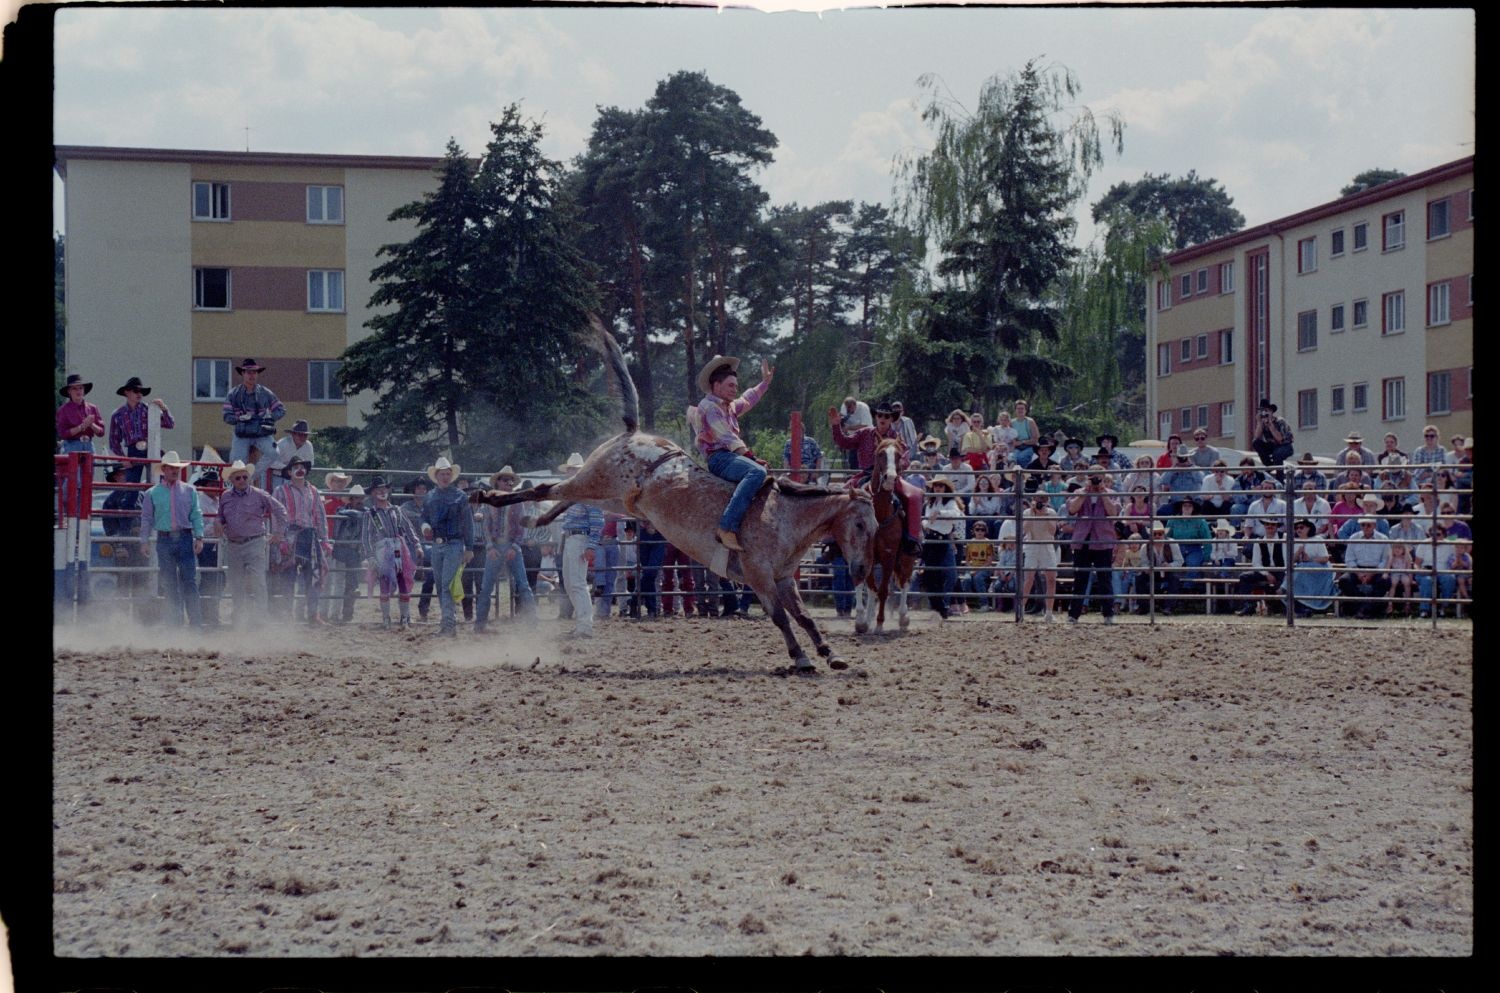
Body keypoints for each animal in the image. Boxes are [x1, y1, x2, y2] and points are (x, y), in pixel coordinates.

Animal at [471, 319, 876, 678]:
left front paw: (831, 654)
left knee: (559, 498)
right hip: (595, 480)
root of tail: (634, 433)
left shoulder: (784, 579)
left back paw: (534, 519)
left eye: (875, 525)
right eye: (859, 523)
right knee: (544, 490)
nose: (860, 571)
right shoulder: (759, 576)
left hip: (610, 498)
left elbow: (803, 616)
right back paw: (488, 495)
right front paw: (801, 659)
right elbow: (779, 617)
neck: (784, 516)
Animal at [852, 438, 918, 633]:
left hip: (906, 557)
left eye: (898, 455)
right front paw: (863, 621)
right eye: (880, 453)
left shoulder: (889, 556)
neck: (879, 515)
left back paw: (903, 618)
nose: (890, 478)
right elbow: (868, 586)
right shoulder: (865, 556)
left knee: (905, 582)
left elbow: (883, 590)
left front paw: (880, 624)